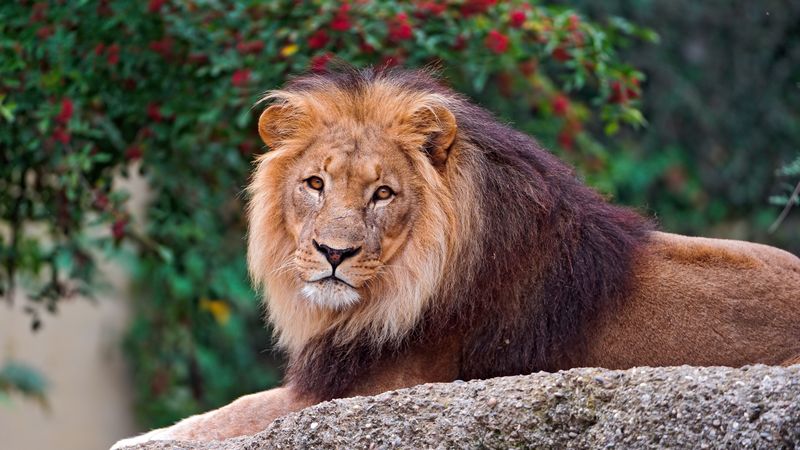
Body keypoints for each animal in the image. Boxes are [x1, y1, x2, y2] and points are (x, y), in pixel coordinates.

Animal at [113, 67, 800, 448]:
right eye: (315, 183)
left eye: (383, 194)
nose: (333, 252)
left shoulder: (373, 392)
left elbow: (232, 413)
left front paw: (145, 437)